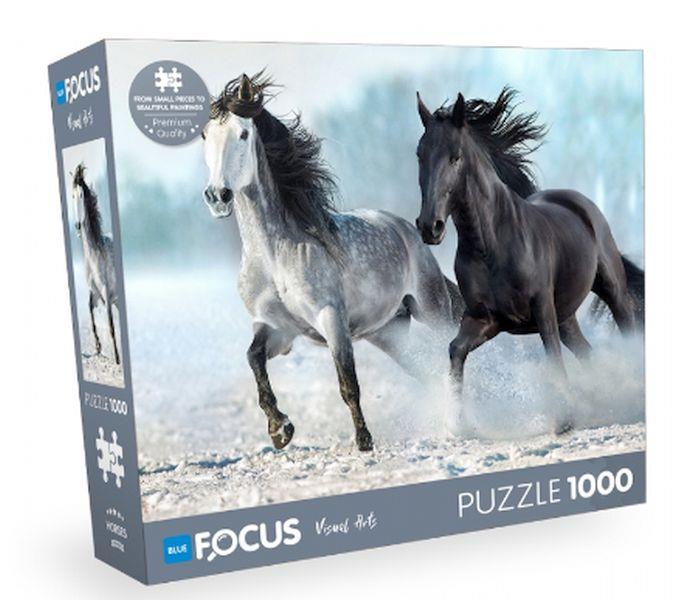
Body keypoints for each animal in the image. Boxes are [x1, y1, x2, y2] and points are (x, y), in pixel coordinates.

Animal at [201, 72, 465, 451]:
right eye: (205, 134)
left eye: (243, 134)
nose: (217, 196)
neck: (274, 256)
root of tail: (409, 230)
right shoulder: (277, 328)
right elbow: (253, 359)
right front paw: (280, 429)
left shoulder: (331, 319)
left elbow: (348, 382)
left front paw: (364, 441)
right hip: (388, 332)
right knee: (424, 369)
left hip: (432, 310)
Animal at [414, 87, 643, 434]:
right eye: (420, 154)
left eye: (455, 156)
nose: (430, 227)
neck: (491, 245)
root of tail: (580, 203)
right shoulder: (485, 319)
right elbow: (455, 350)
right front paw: (458, 424)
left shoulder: (542, 311)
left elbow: (552, 357)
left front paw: (564, 420)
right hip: (567, 317)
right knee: (587, 353)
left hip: (609, 289)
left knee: (625, 325)